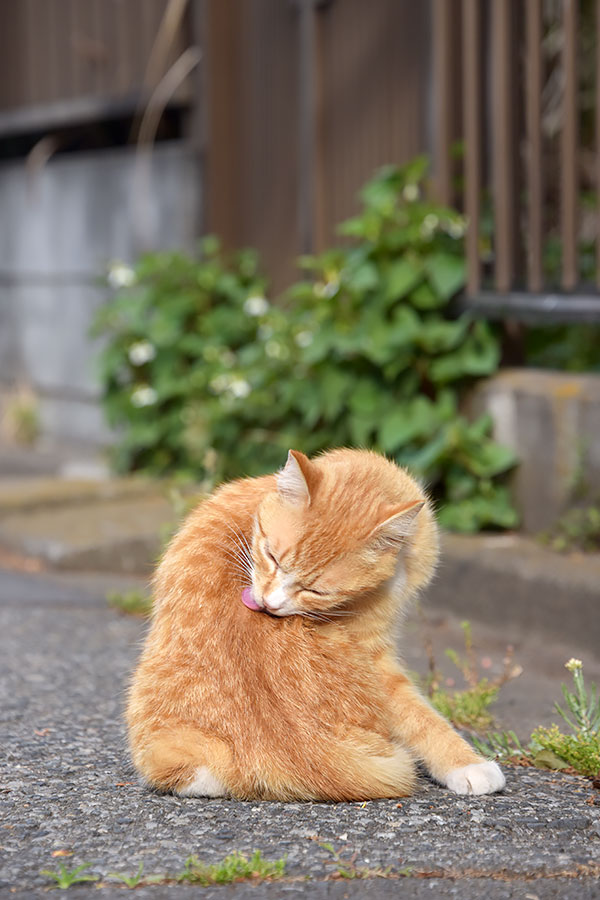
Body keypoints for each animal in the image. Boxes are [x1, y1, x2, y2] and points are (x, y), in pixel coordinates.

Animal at [127, 450, 506, 800]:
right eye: (271, 556)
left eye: (315, 590)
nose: (268, 603)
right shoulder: (375, 658)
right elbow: (421, 717)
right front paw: (467, 764)